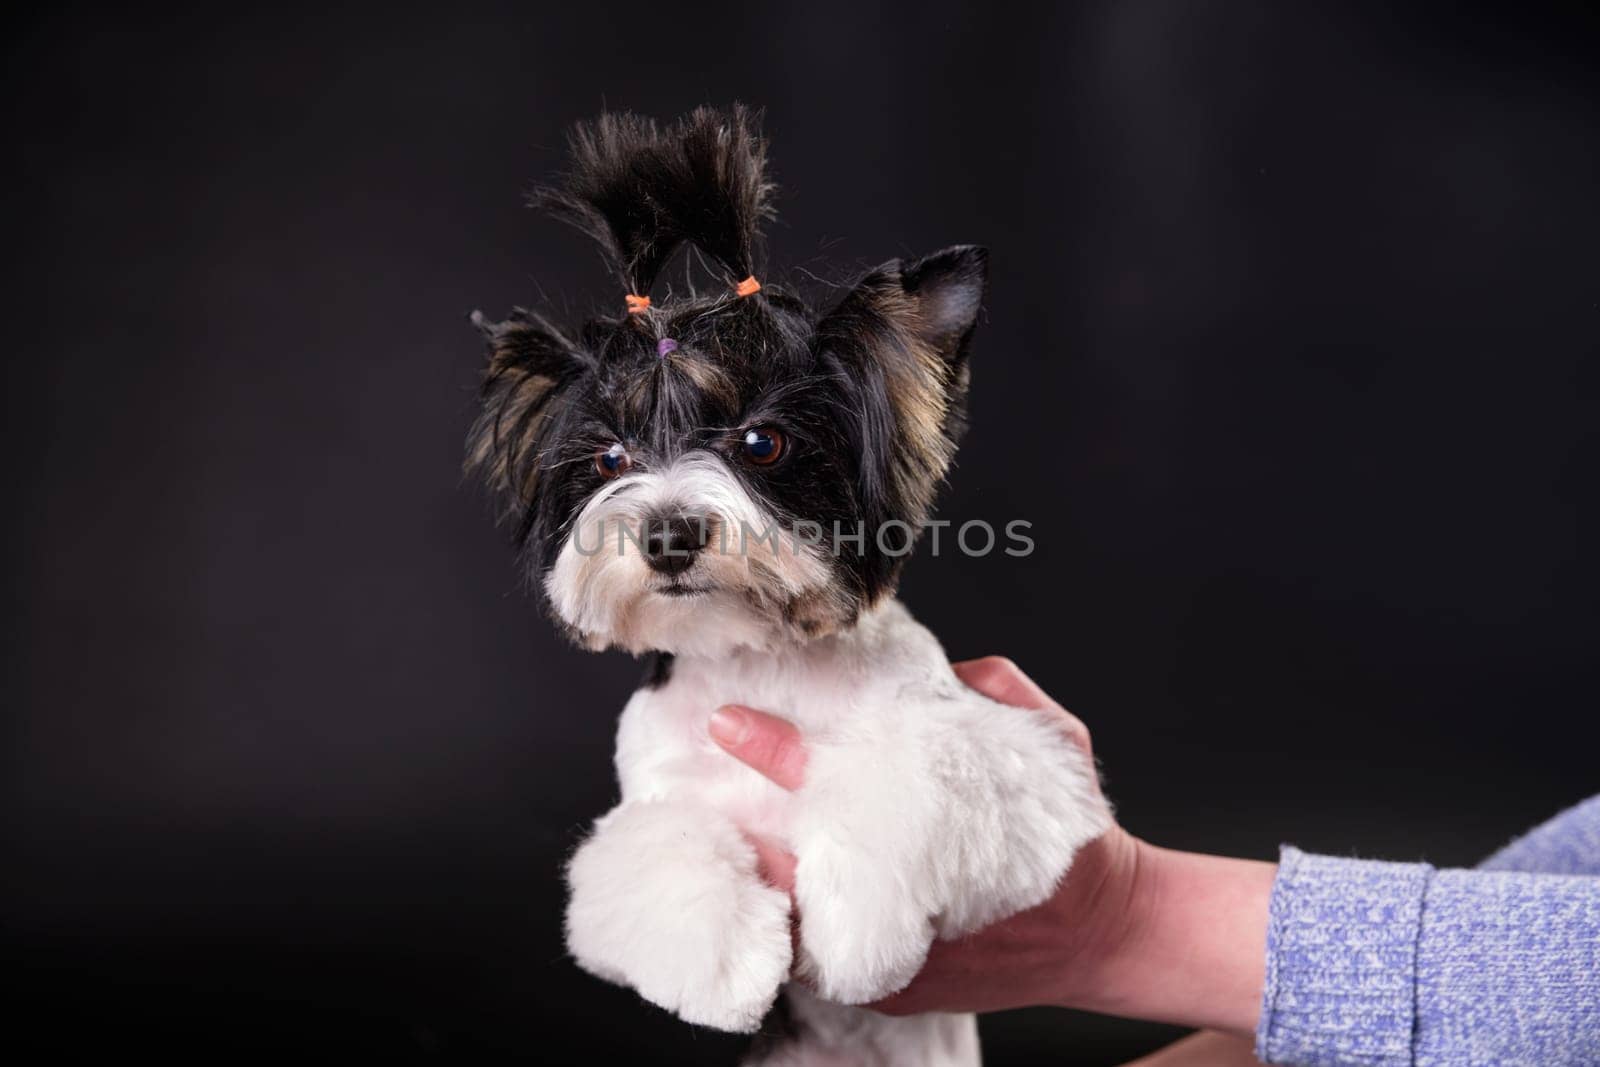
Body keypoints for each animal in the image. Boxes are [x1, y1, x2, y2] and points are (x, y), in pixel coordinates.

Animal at [467, 108, 1107, 1067]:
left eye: (761, 442)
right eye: (610, 458)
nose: (666, 531)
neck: (760, 655)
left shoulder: (1023, 764)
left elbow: (919, 769)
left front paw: (861, 930)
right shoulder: (656, 788)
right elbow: (654, 846)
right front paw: (726, 964)